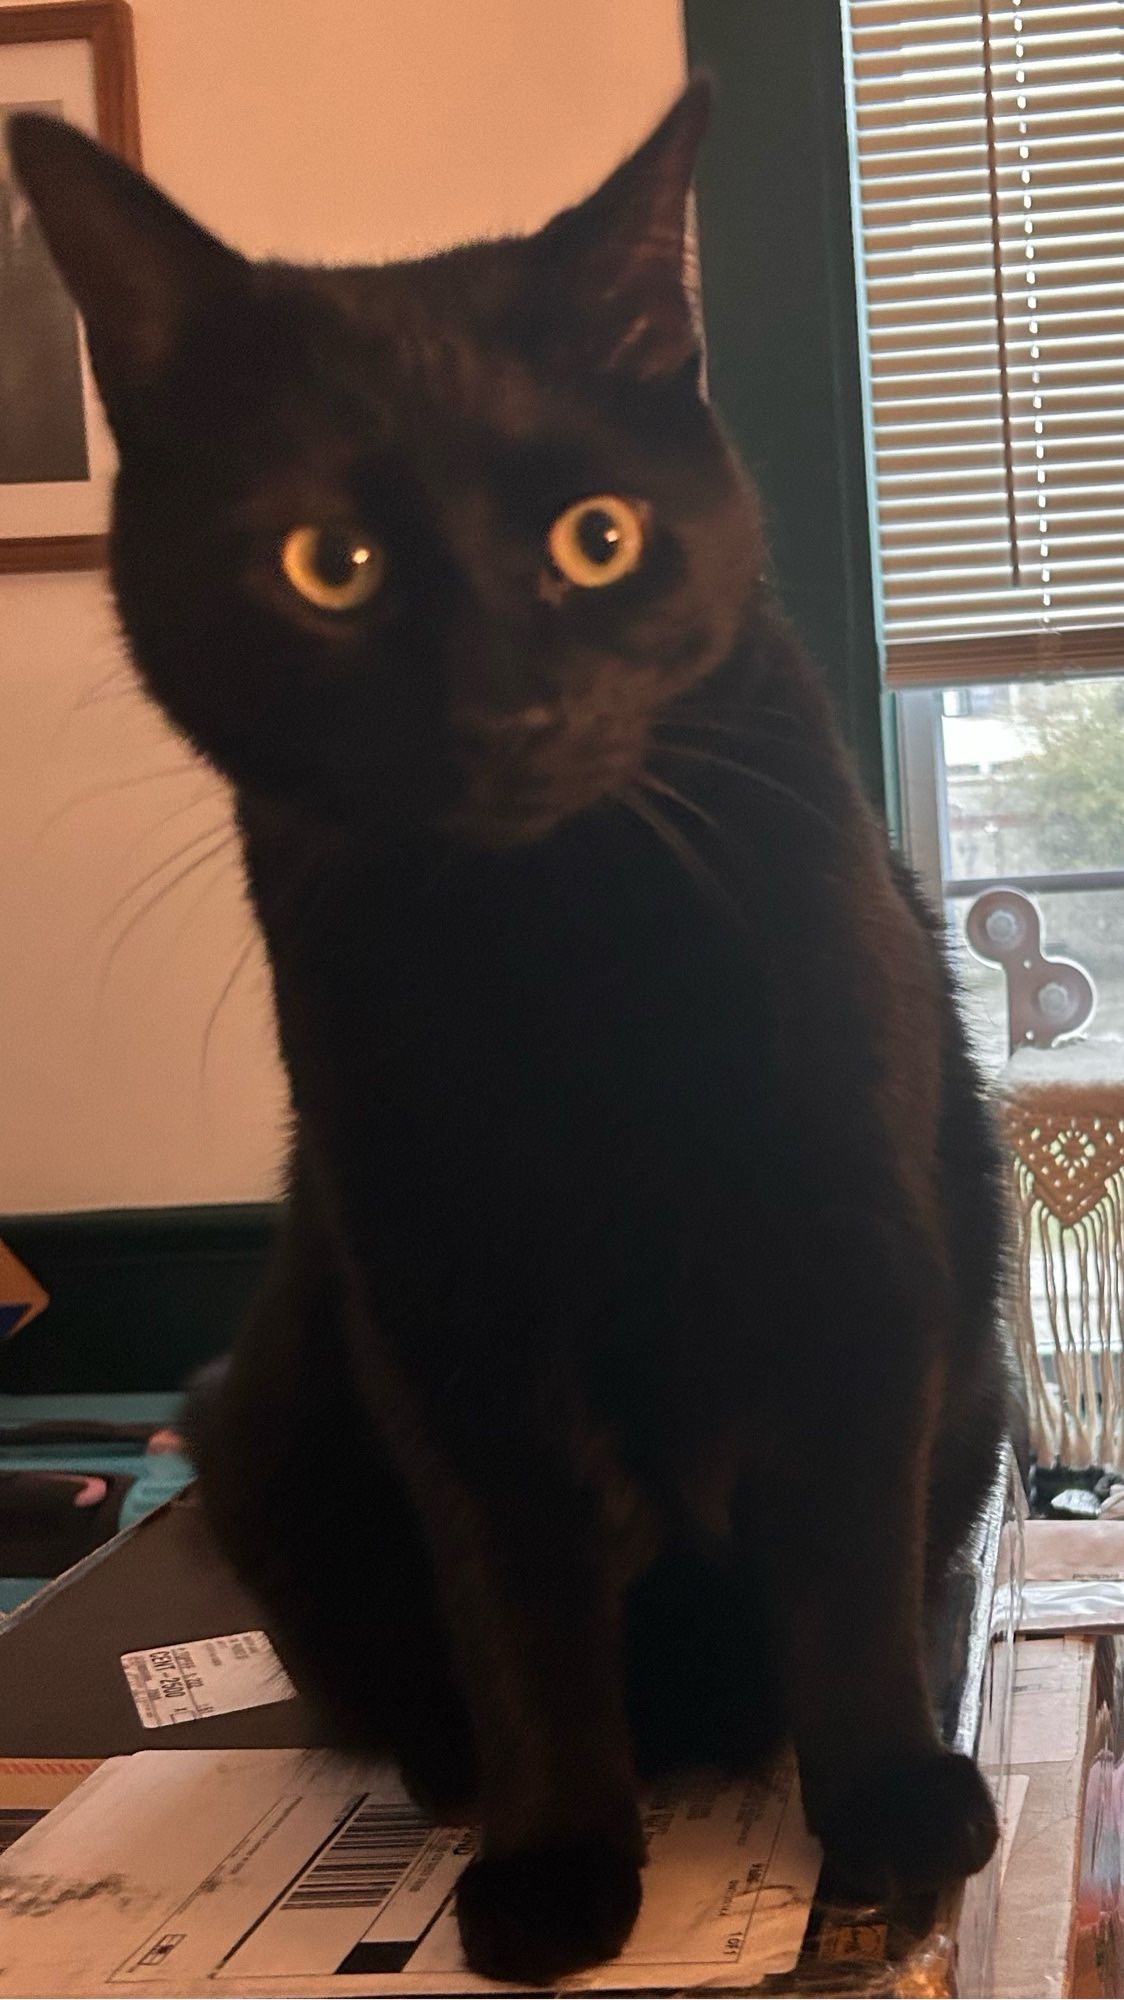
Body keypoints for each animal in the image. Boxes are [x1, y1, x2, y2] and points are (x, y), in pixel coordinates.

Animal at [13, 86, 1000, 1992]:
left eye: (597, 538)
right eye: (329, 565)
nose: (504, 707)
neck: (562, 953)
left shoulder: (852, 1251)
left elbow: (844, 1565)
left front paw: (883, 1806)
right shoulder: (443, 1306)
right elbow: (521, 1599)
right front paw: (551, 1862)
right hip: (263, 1432)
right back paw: (455, 1770)